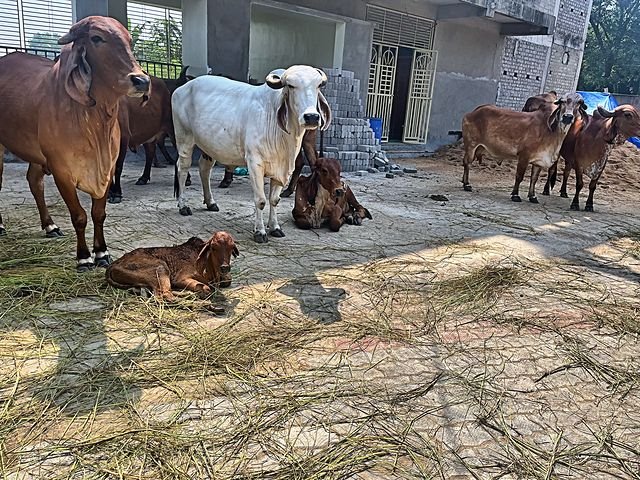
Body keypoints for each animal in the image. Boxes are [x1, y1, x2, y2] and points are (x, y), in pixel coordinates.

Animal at [0, 16, 150, 271]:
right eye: (96, 38)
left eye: (129, 40)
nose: (141, 80)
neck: (95, 123)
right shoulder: (61, 171)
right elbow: (79, 215)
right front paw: (84, 257)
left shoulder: (107, 168)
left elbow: (98, 213)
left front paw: (102, 252)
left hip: (37, 156)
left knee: (34, 182)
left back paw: (50, 226)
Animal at [106, 231, 239, 301]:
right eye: (213, 247)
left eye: (232, 247)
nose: (225, 267)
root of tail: (113, 265)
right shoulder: (180, 278)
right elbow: (206, 288)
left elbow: (227, 281)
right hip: (161, 268)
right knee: (164, 295)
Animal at [172, 65, 332, 243]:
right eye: (290, 86)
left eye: (318, 86)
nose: (311, 117)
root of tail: (182, 88)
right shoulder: (255, 164)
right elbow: (261, 200)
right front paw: (260, 232)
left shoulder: (282, 170)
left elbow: (274, 200)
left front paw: (275, 227)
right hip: (184, 139)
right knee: (182, 169)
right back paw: (183, 205)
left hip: (209, 147)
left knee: (204, 169)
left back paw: (210, 202)